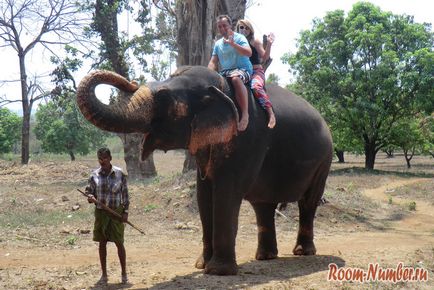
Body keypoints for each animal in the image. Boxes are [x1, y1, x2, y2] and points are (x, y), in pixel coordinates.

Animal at [76, 66, 332, 276]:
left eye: (164, 97)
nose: (130, 82)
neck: (222, 85)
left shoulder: (248, 138)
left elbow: (227, 193)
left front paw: (218, 271)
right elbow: (203, 195)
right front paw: (201, 266)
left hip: (324, 160)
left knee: (308, 202)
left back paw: (302, 252)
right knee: (263, 206)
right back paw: (265, 257)